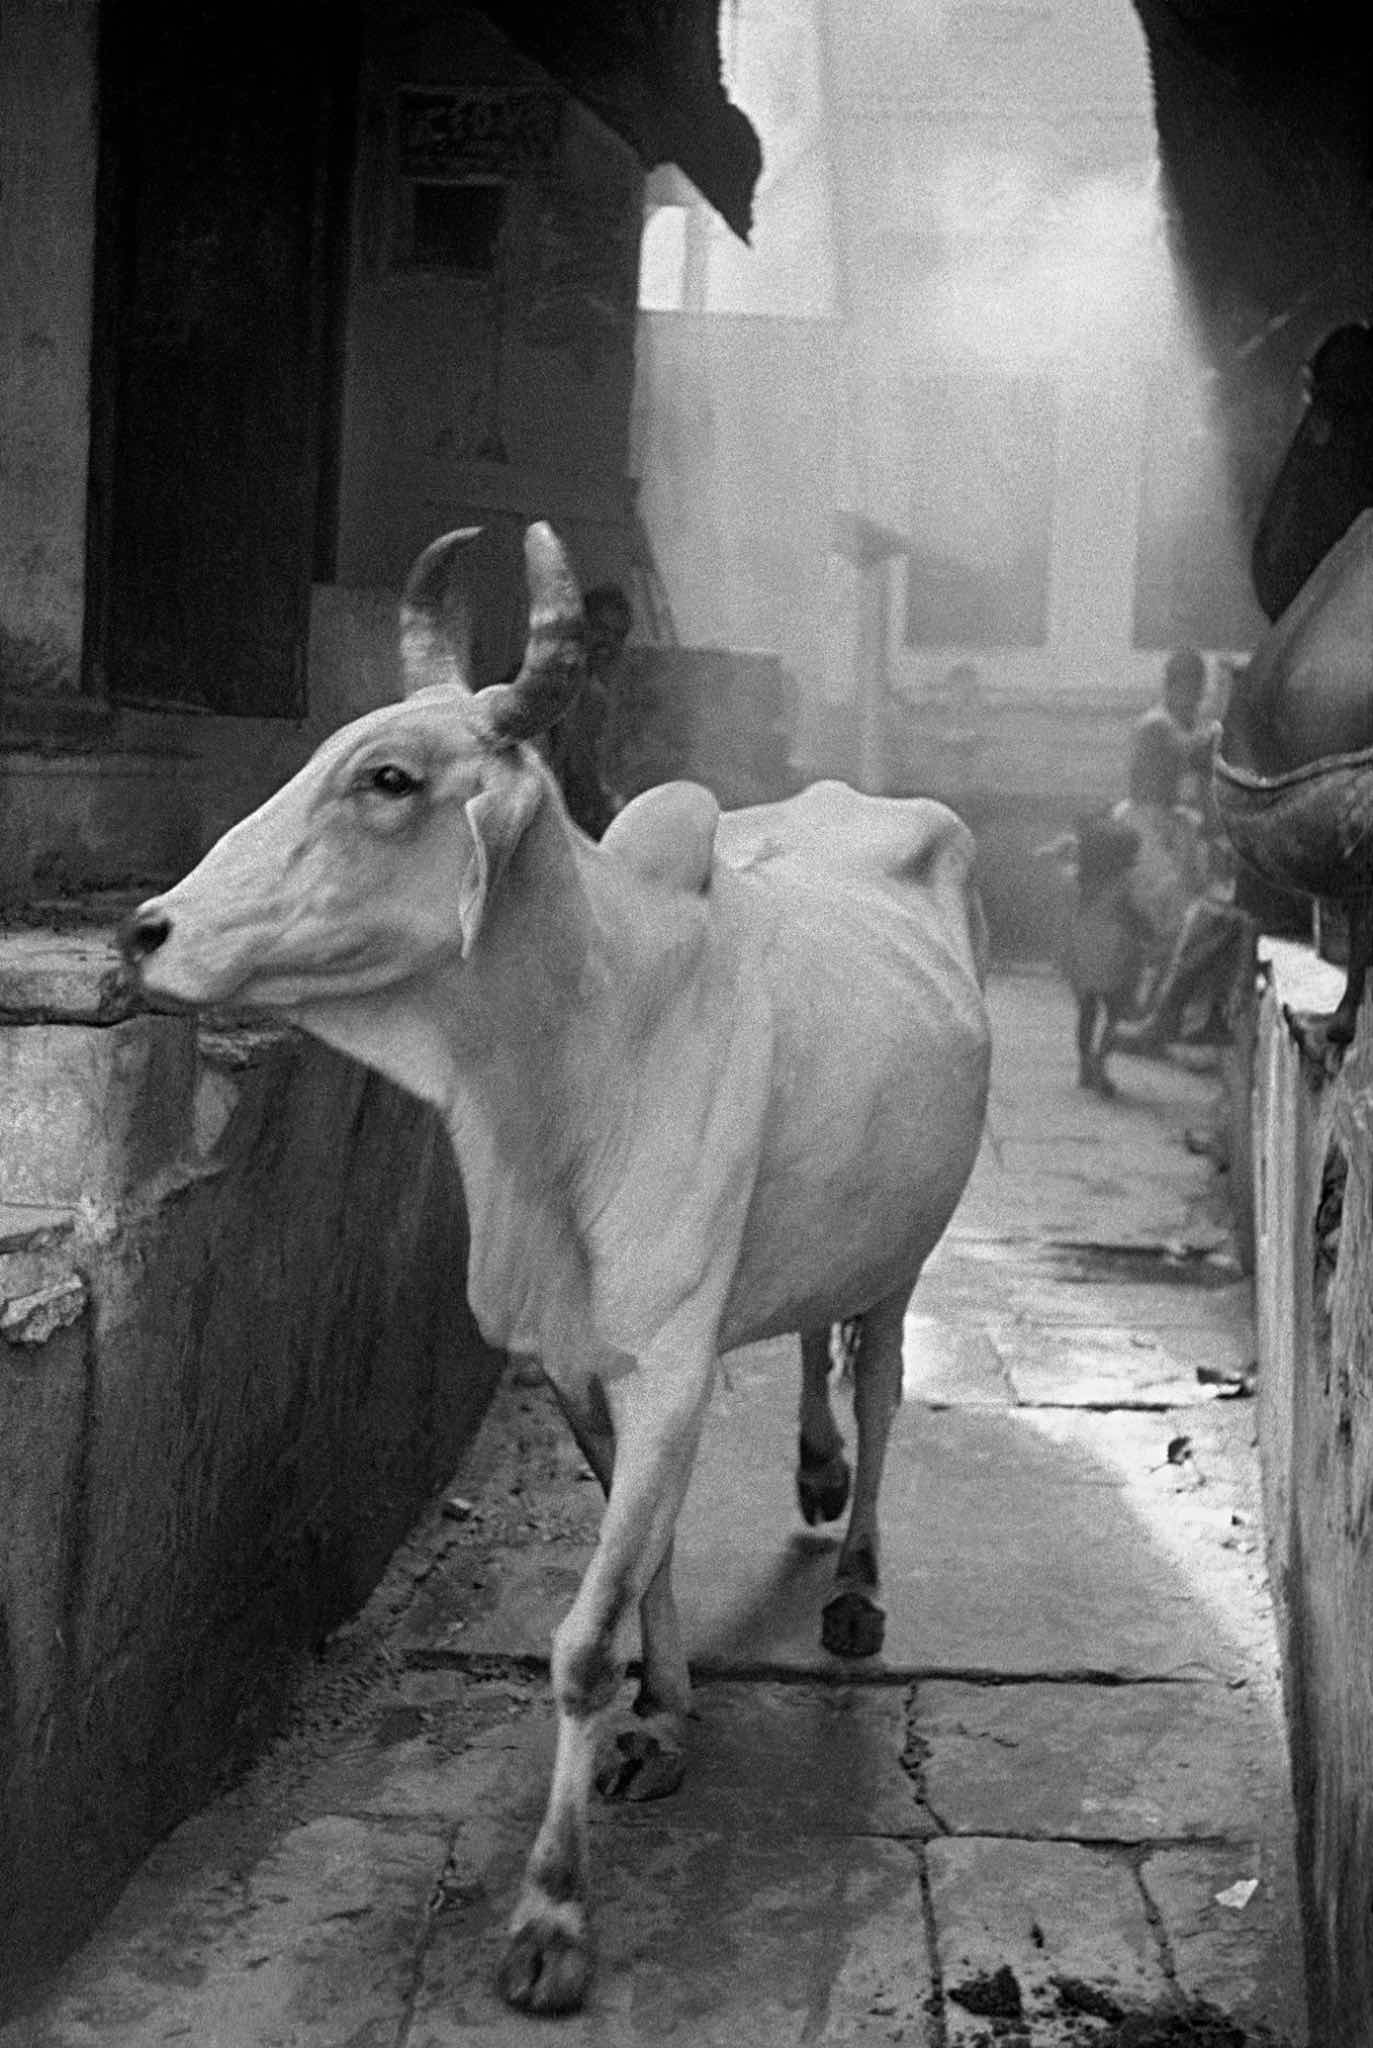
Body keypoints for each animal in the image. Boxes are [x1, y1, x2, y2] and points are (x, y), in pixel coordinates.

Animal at [121, 522, 991, 2017]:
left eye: (390, 778)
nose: (147, 929)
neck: (579, 1064)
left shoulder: (666, 1366)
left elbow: (582, 1639)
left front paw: (552, 1914)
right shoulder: (581, 1362)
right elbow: (643, 1569)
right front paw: (667, 1716)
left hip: (906, 1251)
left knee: (877, 1384)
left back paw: (857, 1575)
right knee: (814, 1355)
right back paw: (813, 1473)